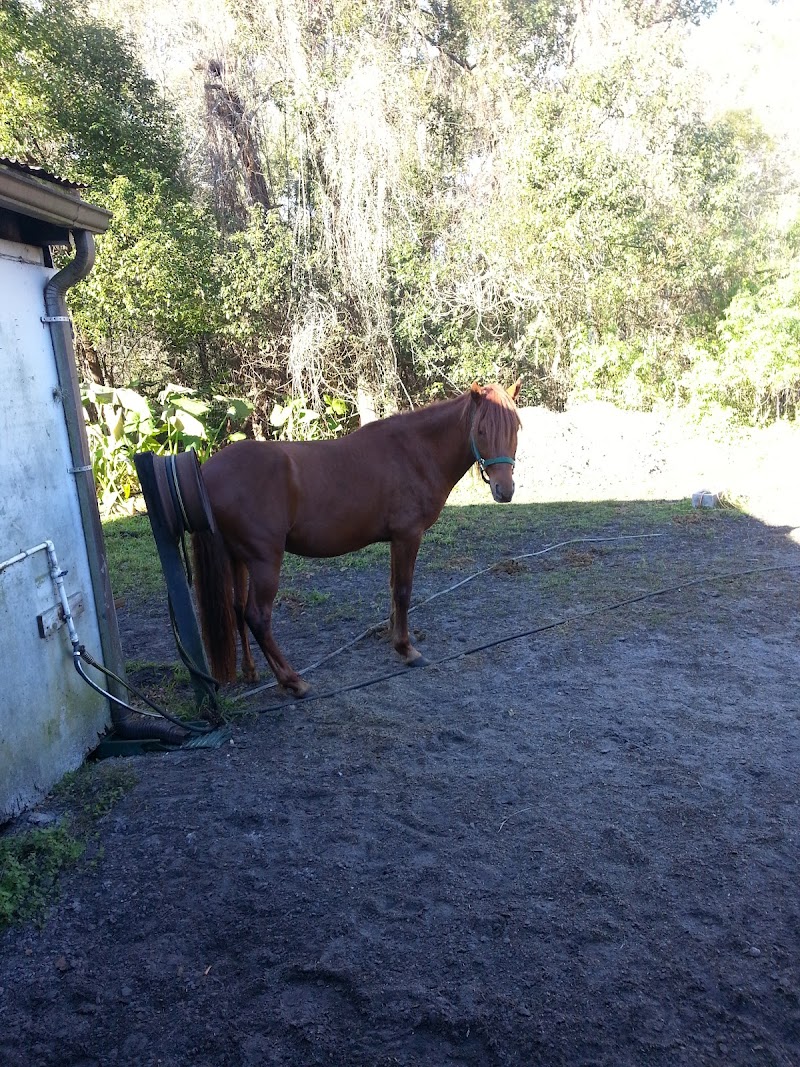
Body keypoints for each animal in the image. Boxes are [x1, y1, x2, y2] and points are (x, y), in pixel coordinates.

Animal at [191, 380, 522, 696]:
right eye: (481, 430)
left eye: (515, 428)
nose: (504, 490)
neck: (414, 452)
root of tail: (207, 472)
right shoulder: (408, 536)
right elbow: (403, 591)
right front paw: (407, 650)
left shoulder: (396, 540)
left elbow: (393, 589)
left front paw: (393, 637)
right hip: (264, 561)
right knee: (258, 616)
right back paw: (293, 681)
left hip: (237, 558)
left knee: (236, 609)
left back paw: (251, 671)